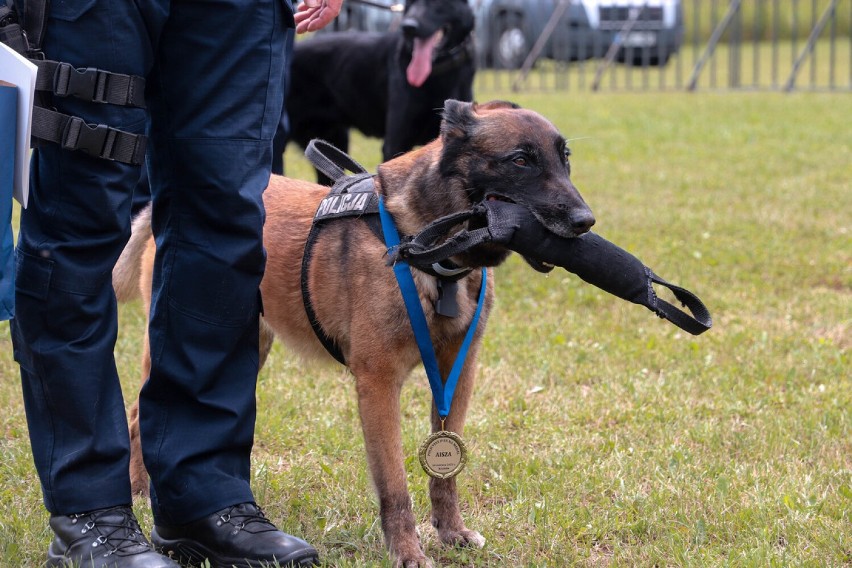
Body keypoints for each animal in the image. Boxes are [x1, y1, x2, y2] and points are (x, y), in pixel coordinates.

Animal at [116, 100, 596, 564]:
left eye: (565, 160)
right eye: (520, 160)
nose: (585, 221)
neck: (424, 245)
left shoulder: (458, 373)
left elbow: (445, 475)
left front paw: (451, 532)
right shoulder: (378, 383)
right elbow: (394, 484)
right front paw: (407, 552)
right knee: (139, 413)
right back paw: (139, 490)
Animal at [282, 0, 476, 182]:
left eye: (437, 3)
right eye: (410, 3)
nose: (408, 27)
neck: (439, 73)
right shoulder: (395, 142)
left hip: (333, 140)